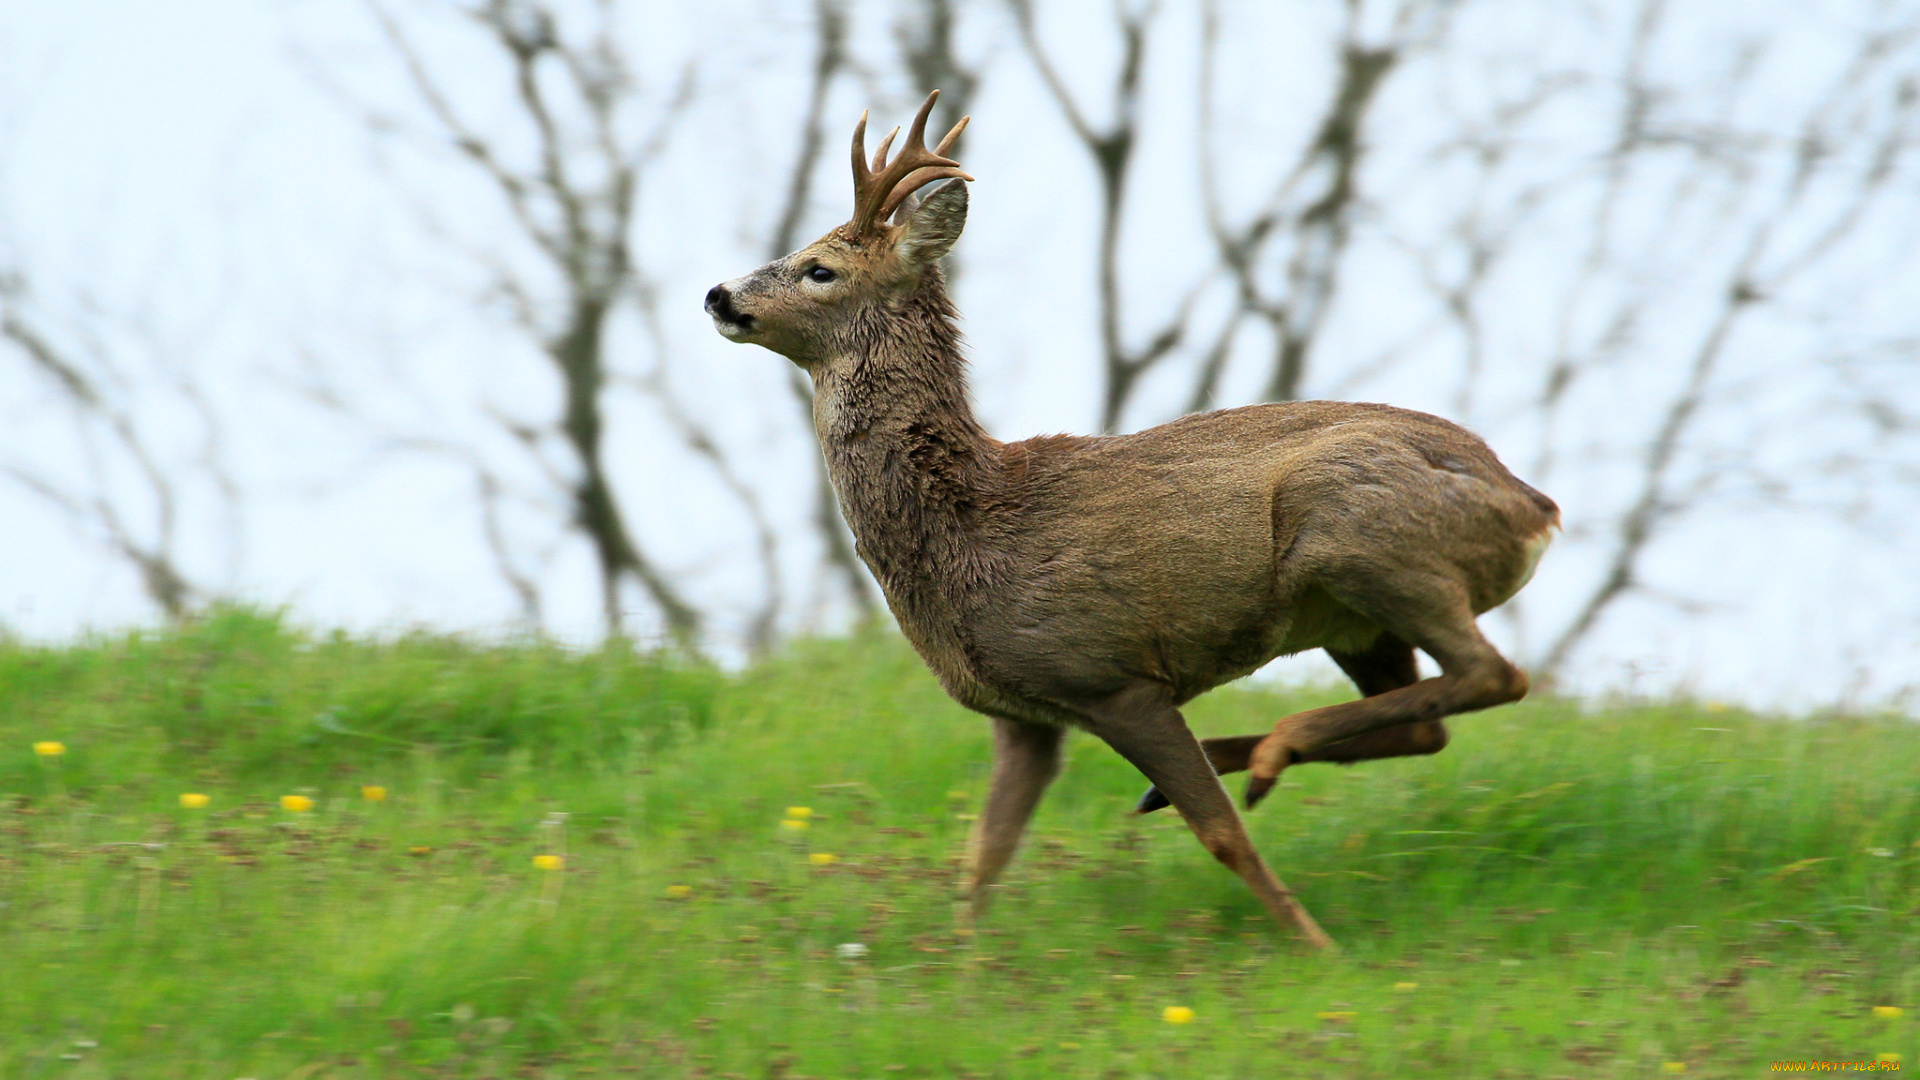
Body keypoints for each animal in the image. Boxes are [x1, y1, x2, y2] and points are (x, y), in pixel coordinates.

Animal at [706, 94, 1559, 949]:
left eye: (820, 268)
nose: (717, 294)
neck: (966, 526)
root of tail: (1531, 505)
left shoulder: (1112, 678)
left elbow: (1222, 835)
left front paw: (1317, 949)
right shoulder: (1023, 717)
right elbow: (982, 859)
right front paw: (958, 964)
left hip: (1363, 536)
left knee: (1492, 674)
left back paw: (1269, 750)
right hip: (1355, 618)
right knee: (1431, 722)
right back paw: (1236, 760)